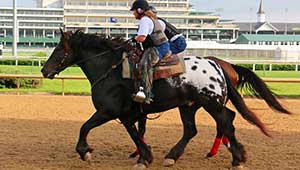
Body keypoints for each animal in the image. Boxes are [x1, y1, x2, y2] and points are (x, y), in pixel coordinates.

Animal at [41, 30, 272, 169]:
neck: (111, 69)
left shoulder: (108, 111)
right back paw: (174, 156)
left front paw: (85, 152)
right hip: (188, 106)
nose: (44, 70)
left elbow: (85, 127)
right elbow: (136, 134)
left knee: (226, 124)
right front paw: (143, 156)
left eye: (58, 49)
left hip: (212, 104)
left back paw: (237, 158)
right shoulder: (128, 115)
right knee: (194, 129)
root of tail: (218, 66)